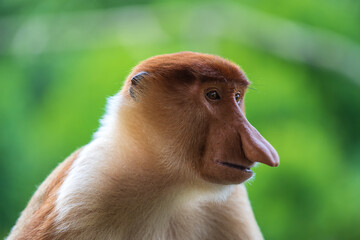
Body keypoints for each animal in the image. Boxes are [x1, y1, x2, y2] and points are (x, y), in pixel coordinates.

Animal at [7, 52, 280, 240]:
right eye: (213, 95)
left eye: (237, 97)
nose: (263, 149)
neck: (168, 186)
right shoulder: (86, 194)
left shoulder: (232, 204)